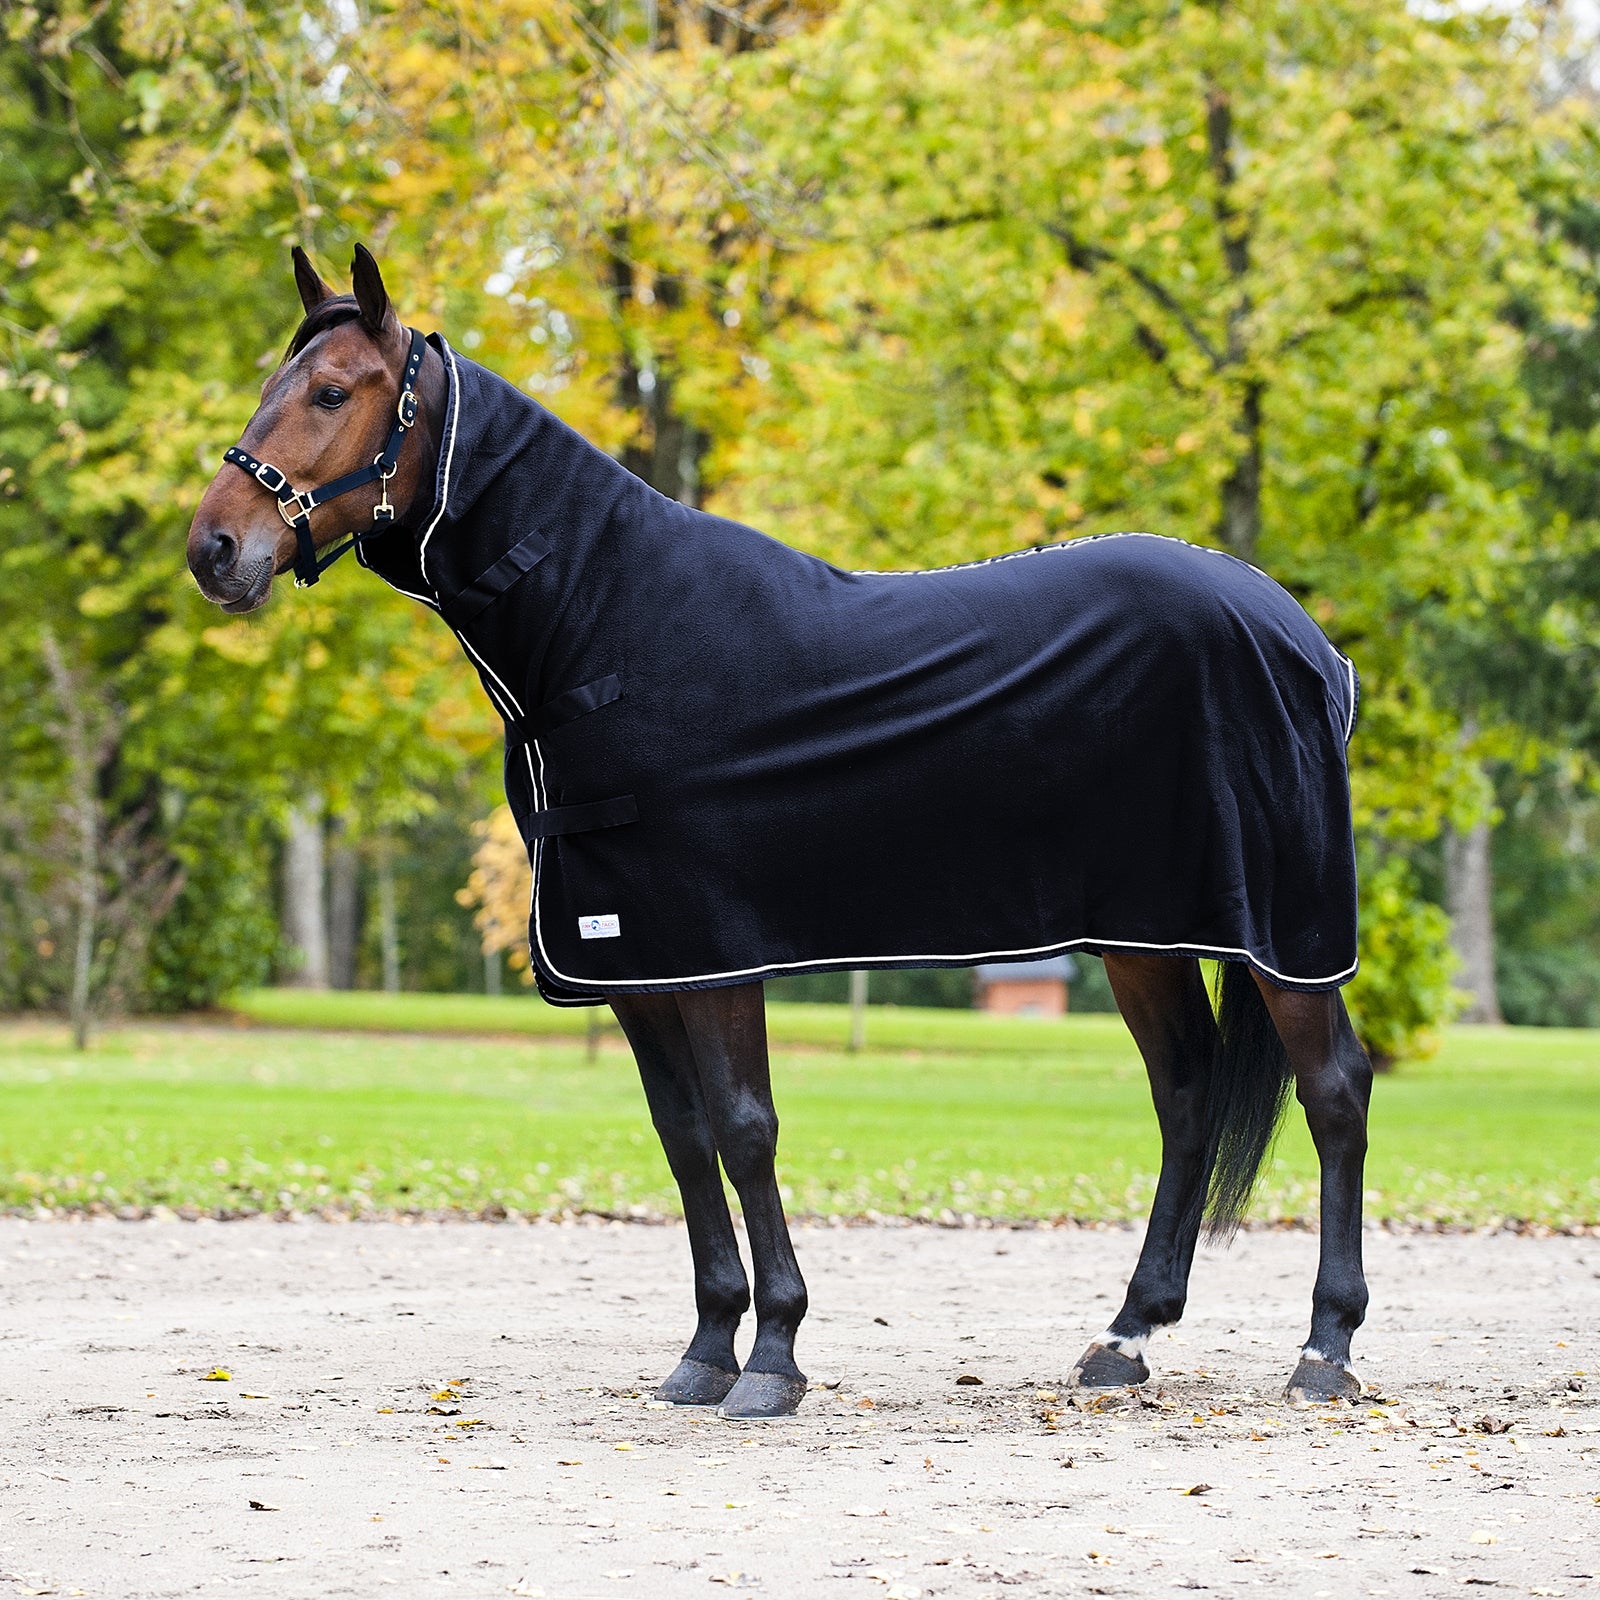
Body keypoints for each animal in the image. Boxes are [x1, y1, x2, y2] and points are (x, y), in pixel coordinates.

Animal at [186, 245, 1374, 1420]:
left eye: (332, 393)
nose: (215, 548)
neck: (607, 622)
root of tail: (1306, 639)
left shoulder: (718, 955)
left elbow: (744, 1128)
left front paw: (773, 1357)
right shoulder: (636, 961)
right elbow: (683, 1137)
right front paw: (707, 1347)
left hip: (1285, 936)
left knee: (1334, 1092)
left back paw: (1325, 1348)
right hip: (1142, 935)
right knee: (1185, 1096)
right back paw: (1125, 1335)